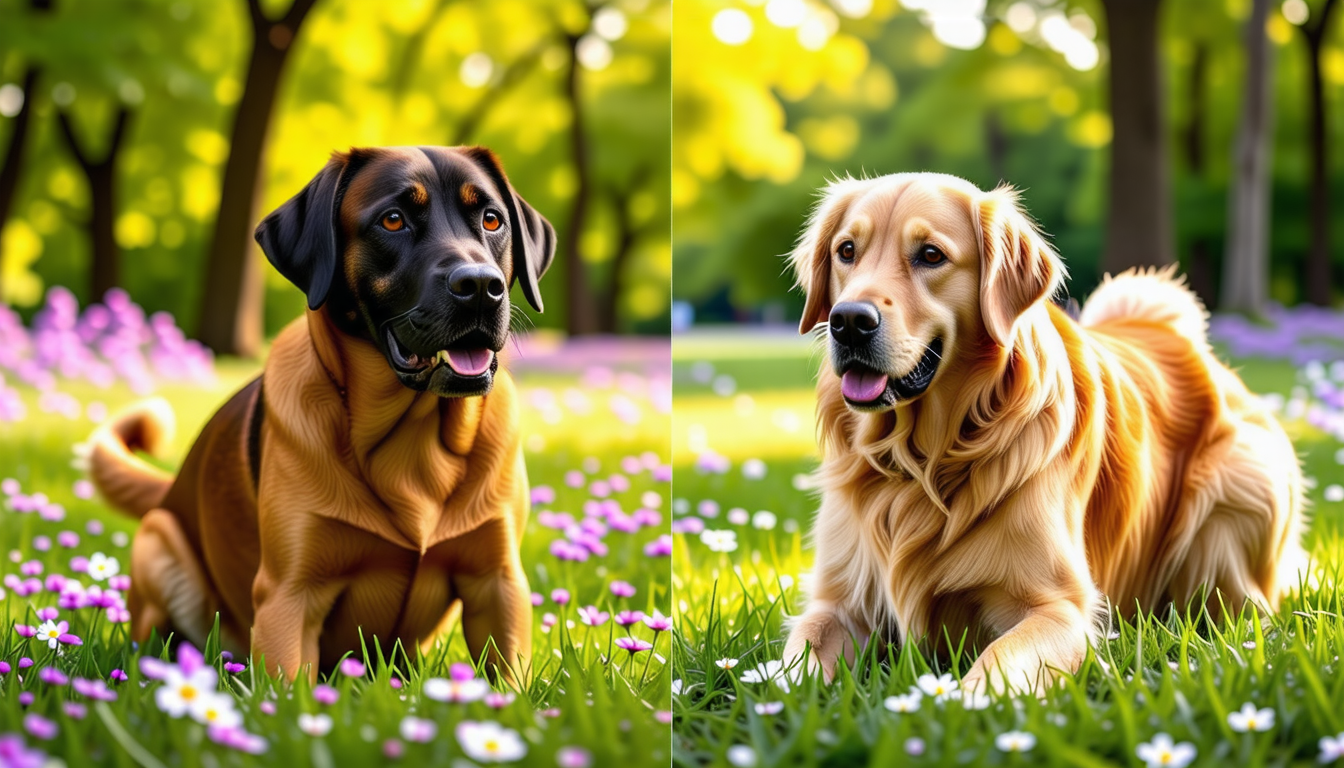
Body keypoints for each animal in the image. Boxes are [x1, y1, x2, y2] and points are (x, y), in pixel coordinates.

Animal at [88, 147, 551, 683]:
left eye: (492, 219)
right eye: (393, 220)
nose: (479, 286)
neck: (414, 432)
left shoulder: (499, 584)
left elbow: (508, 685)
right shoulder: (290, 594)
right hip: (158, 543)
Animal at [784, 172, 1306, 699]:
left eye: (930, 255)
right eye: (847, 251)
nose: (849, 321)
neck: (921, 461)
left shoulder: (1060, 608)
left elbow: (997, 661)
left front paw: (955, 704)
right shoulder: (837, 602)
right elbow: (794, 663)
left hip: (1237, 490)